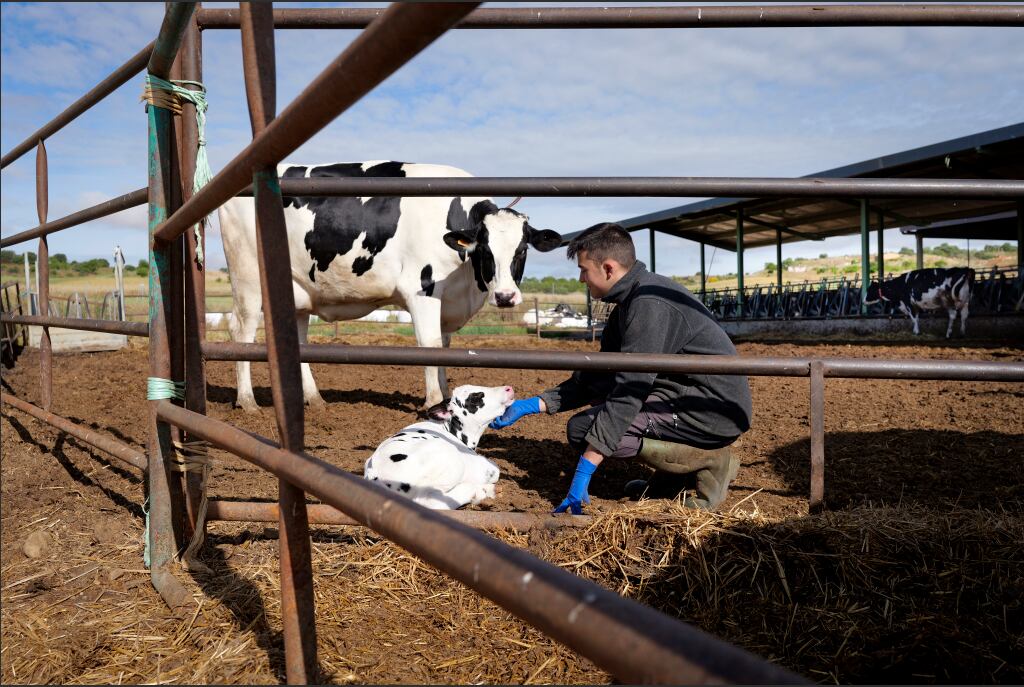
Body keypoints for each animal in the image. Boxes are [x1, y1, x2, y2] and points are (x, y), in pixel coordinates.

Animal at [219, 161, 565, 411]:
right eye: (485, 249)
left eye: (522, 250)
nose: (505, 296)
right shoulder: (423, 288)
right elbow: (429, 345)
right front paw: (432, 401)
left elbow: (444, 348)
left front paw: (446, 396)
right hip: (248, 277)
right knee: (242, 331)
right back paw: (248, 402)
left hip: (297, 290)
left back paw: (314, 400)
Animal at [364, 384, 516, 507]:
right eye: (474, 397)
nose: (508, 388)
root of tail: (375, 476)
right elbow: (495, 470)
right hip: (451, 463)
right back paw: (479, 491)